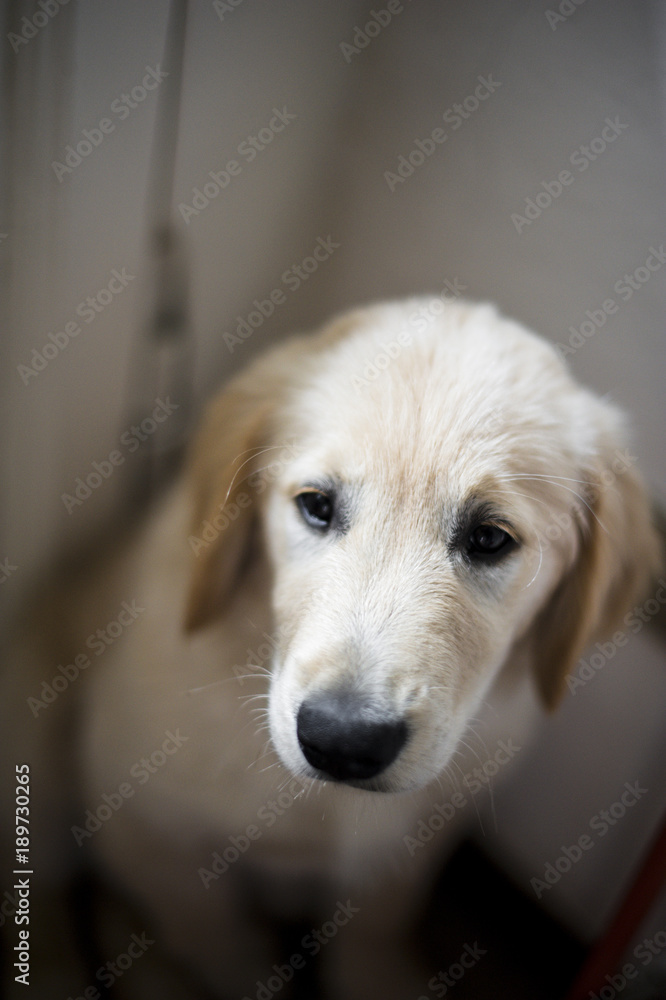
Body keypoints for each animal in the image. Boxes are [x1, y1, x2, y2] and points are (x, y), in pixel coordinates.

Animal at [3, 298, 660, 1000]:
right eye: (317, 505)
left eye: (490, 538)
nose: (344, 741)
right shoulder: (140, 821)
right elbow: (214, 930)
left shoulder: (413, 841)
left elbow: (372, 922)